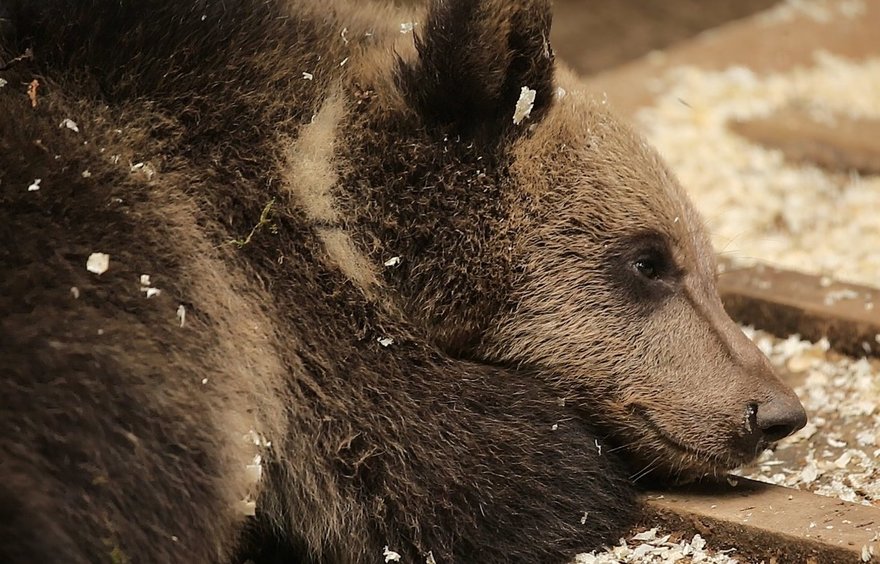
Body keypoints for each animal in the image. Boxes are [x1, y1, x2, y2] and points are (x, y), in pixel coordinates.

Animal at [0, 1, 804, 564]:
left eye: (710, 266)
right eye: (648, 260)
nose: (774, 412)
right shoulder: (271, 303)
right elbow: (429, 460)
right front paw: (570, 468)